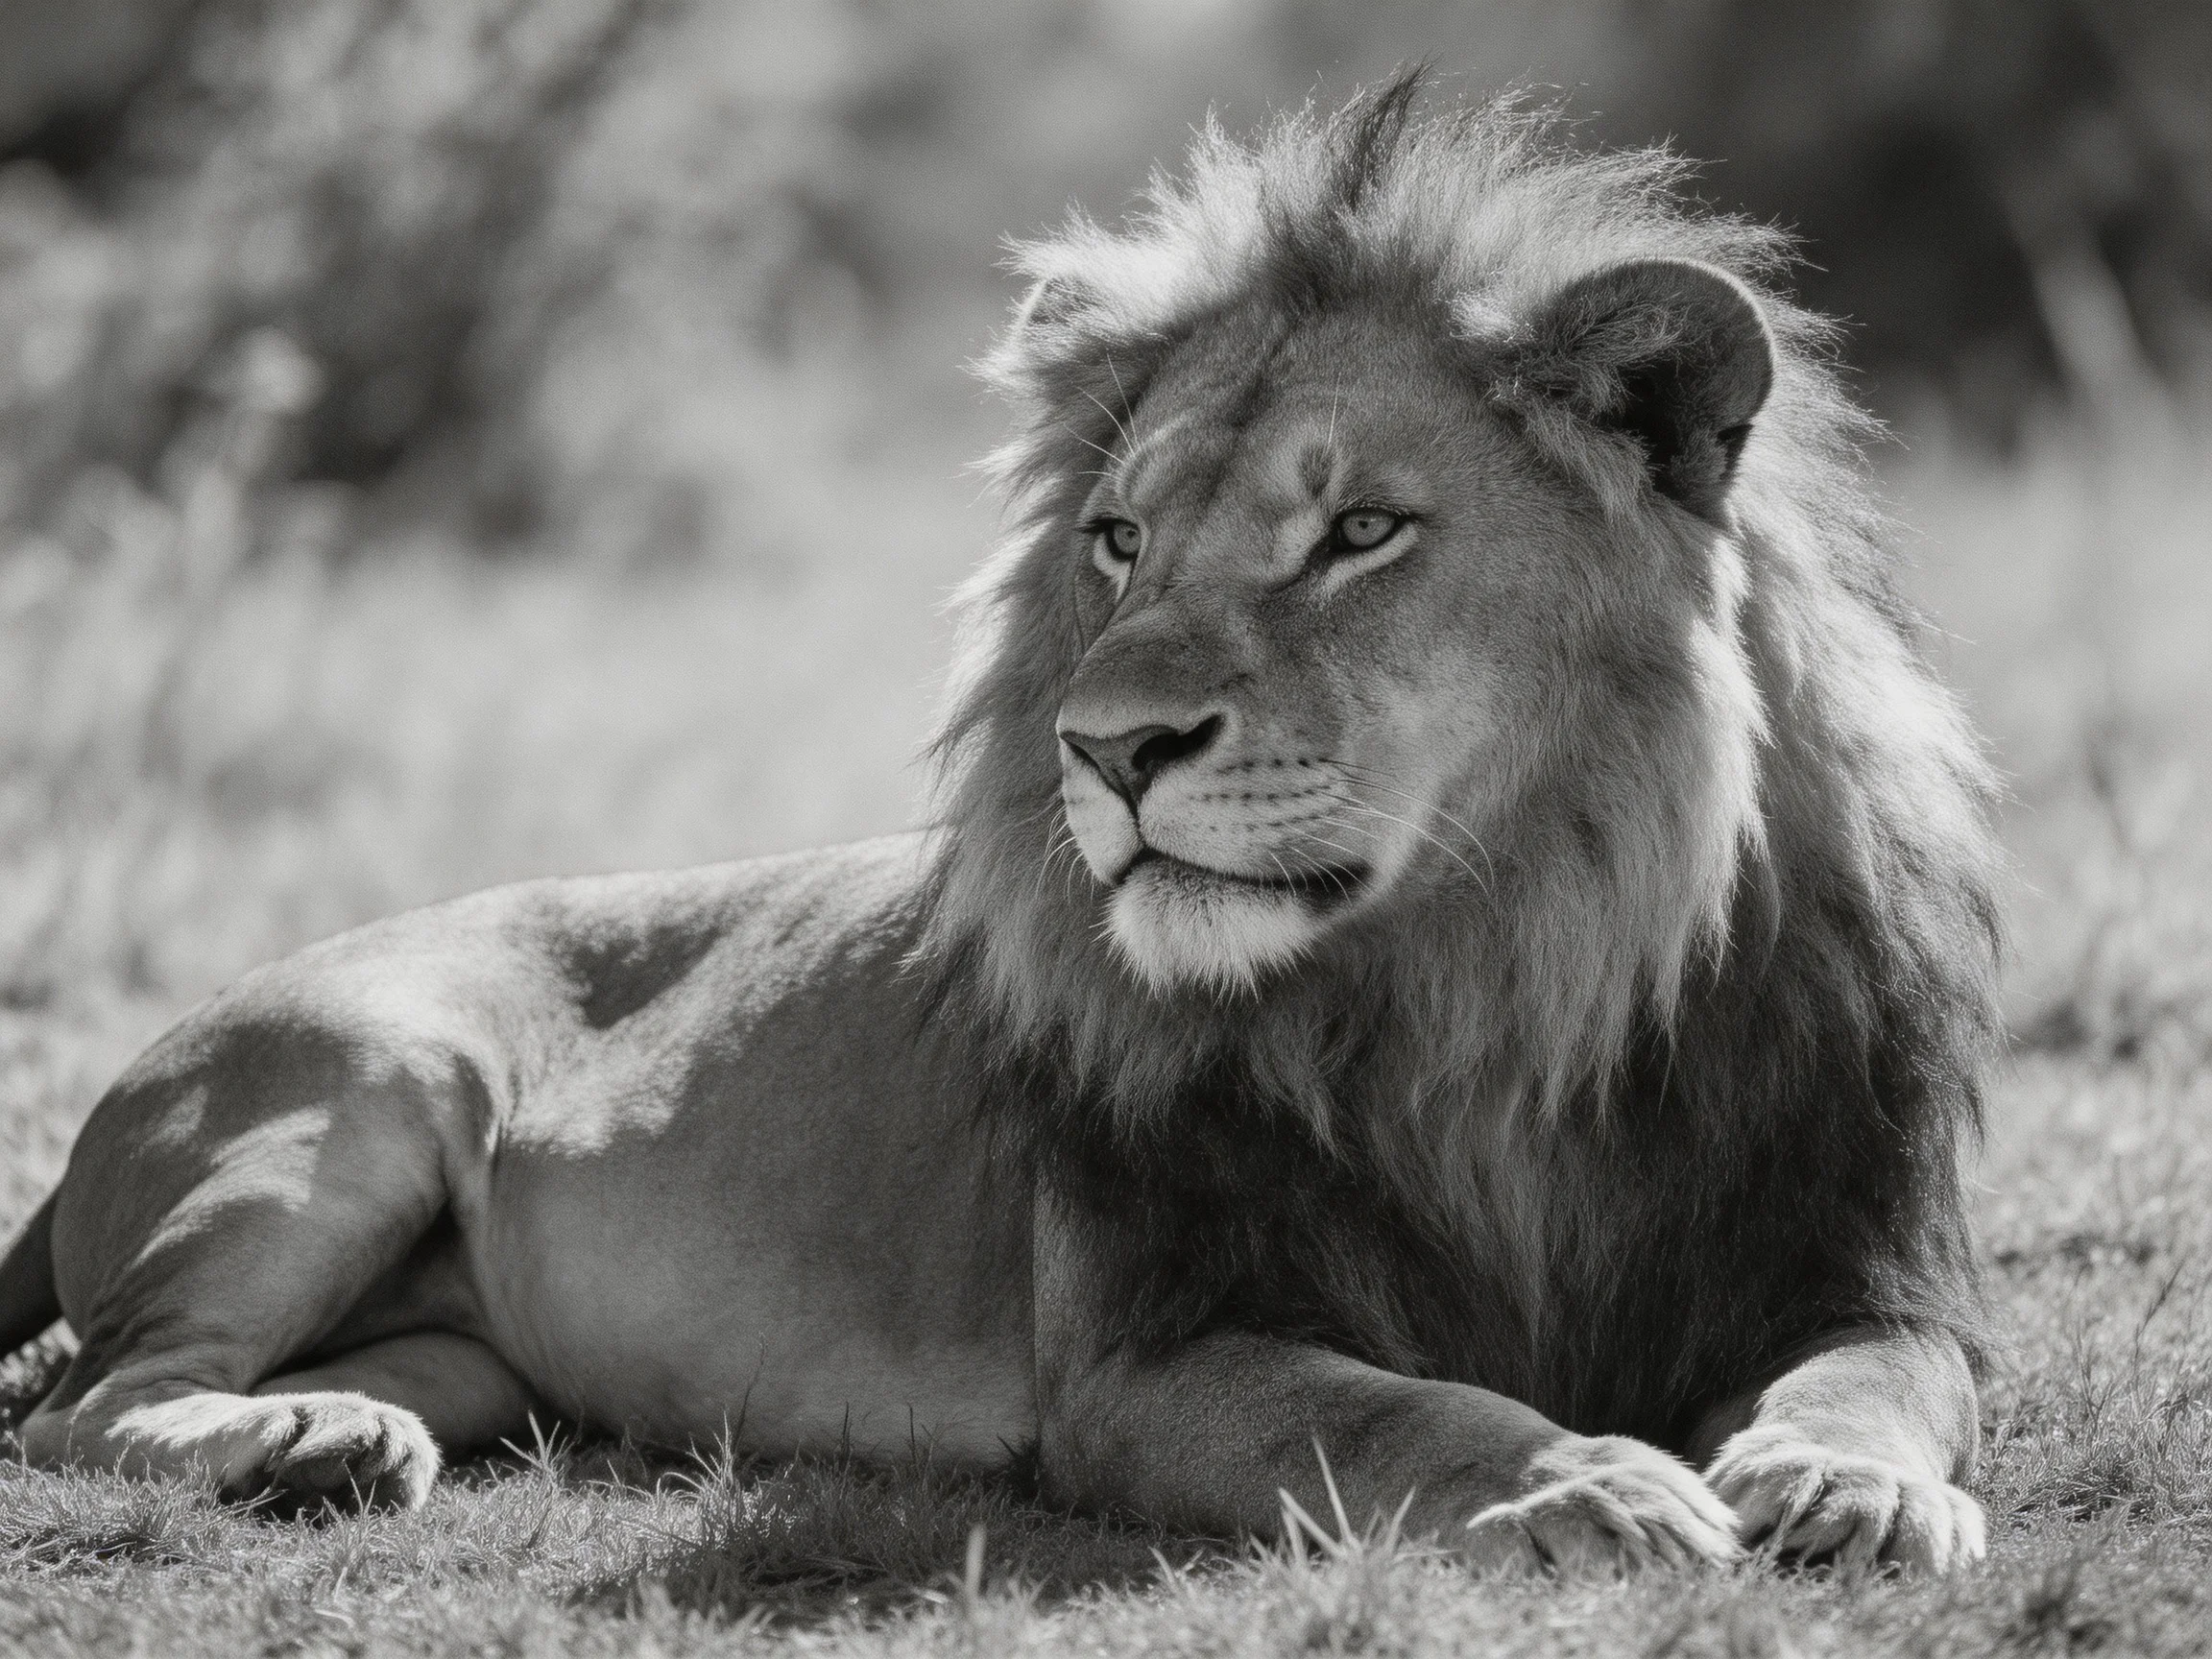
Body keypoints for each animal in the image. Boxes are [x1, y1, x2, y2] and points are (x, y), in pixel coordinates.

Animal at [1, 76, 2000, 1574]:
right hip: (355, 1089)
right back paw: (293, 1436)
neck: (1495, 975)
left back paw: (336, 1431)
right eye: (1117, 540)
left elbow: (1883, 1379)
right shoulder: (1145, 1357)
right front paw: (1587, 1479)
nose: (1104, 747)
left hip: (468, 1347)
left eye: (1357, 531)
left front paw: (1845, 1483)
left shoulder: (1860, 1259)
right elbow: (1393, 1408)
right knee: (80, 1400)